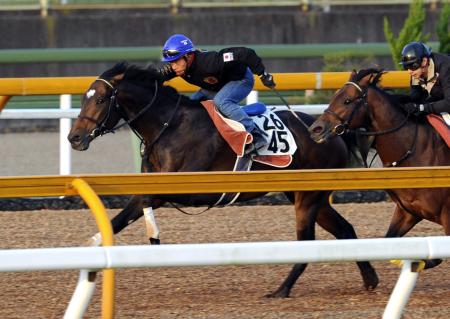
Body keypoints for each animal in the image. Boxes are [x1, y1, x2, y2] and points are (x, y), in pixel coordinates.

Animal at [67, 62, 378, 298]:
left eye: (100, 100)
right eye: (83, 98)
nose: (75, 137)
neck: (169, 126)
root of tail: (330, 132)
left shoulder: (192, 190)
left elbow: (144, 202)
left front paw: (153, 236)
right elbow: (119, 218)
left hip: (308, 197)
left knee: (306, 242)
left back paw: (282, 290)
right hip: (309, 194)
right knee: (345, 229)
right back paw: (370, 279)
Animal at [310, 68, 450, 270]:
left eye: (347, 100)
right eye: (335, 96)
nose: (316, 129)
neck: (415, 150)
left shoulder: (447, 215)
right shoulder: (408, 211)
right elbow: (390, 240)